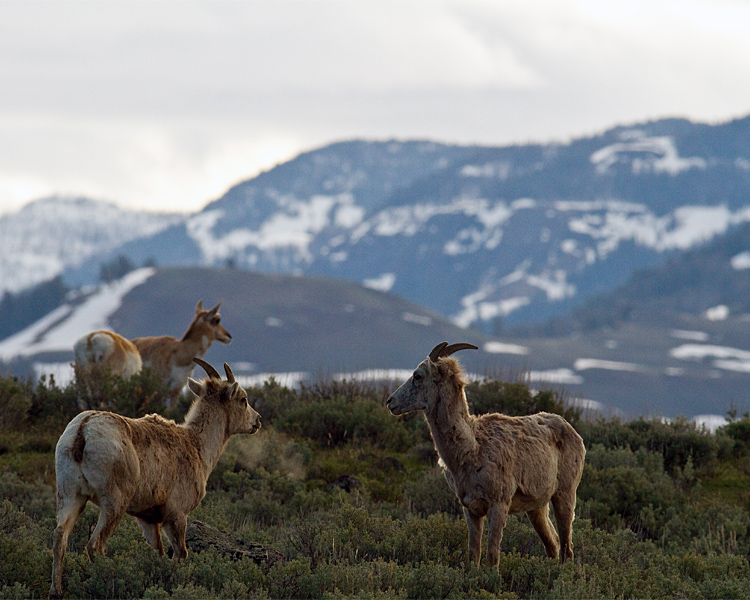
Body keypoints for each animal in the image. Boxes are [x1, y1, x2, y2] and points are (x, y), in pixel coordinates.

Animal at [50, 358, 262, 596]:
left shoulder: (147, 517)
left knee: (60, 537)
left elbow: (158, 552)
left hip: (70, 495)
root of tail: (82, 432)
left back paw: (56, 592)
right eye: (243, 399)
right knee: (95, 545)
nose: (257, 421)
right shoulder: (176, 514)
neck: (197, 446)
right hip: (114, 502)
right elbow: (180, 554)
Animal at [388, 342, 588, 568]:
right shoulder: (470, 509)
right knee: (553, 545)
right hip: (537, 508)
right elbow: (474, 554)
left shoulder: (499, 505)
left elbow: (492, 555)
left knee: (566, 548)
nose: (390, 402)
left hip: (565, 494)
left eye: (418, 375)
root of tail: (575, 434)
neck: (471, 449)